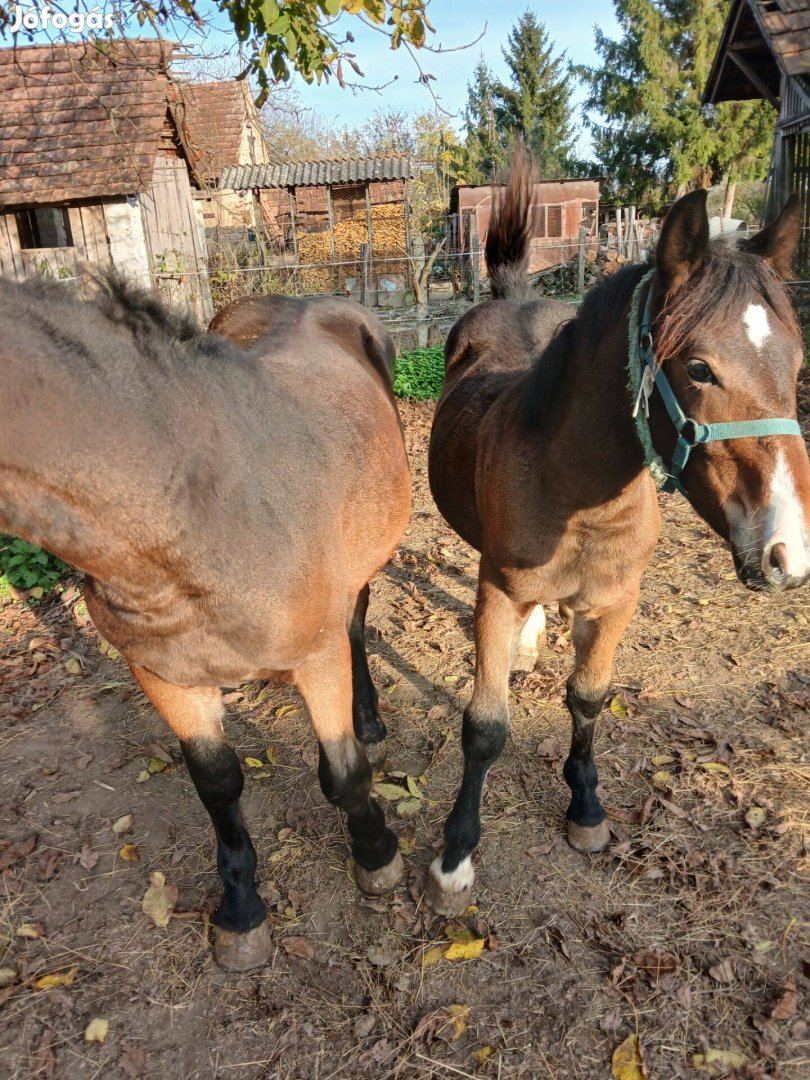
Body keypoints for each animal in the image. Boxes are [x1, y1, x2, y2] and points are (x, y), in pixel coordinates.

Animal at [0, 278, 412, 972]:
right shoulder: (164, 676)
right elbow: (218, 788)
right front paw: (242, 911)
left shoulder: (316, 655)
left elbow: (346, 772)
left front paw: (377, 854)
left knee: (356, 623)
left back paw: (369, 719)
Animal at [427, 150, 807, 911]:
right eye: (699, 367)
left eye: (798, 362)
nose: (789, 553)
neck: (579, 499)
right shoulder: (495, 591)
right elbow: (485, 727)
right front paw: (456, 854)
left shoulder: (616, 602)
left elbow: (588, 699)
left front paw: (586, 809)